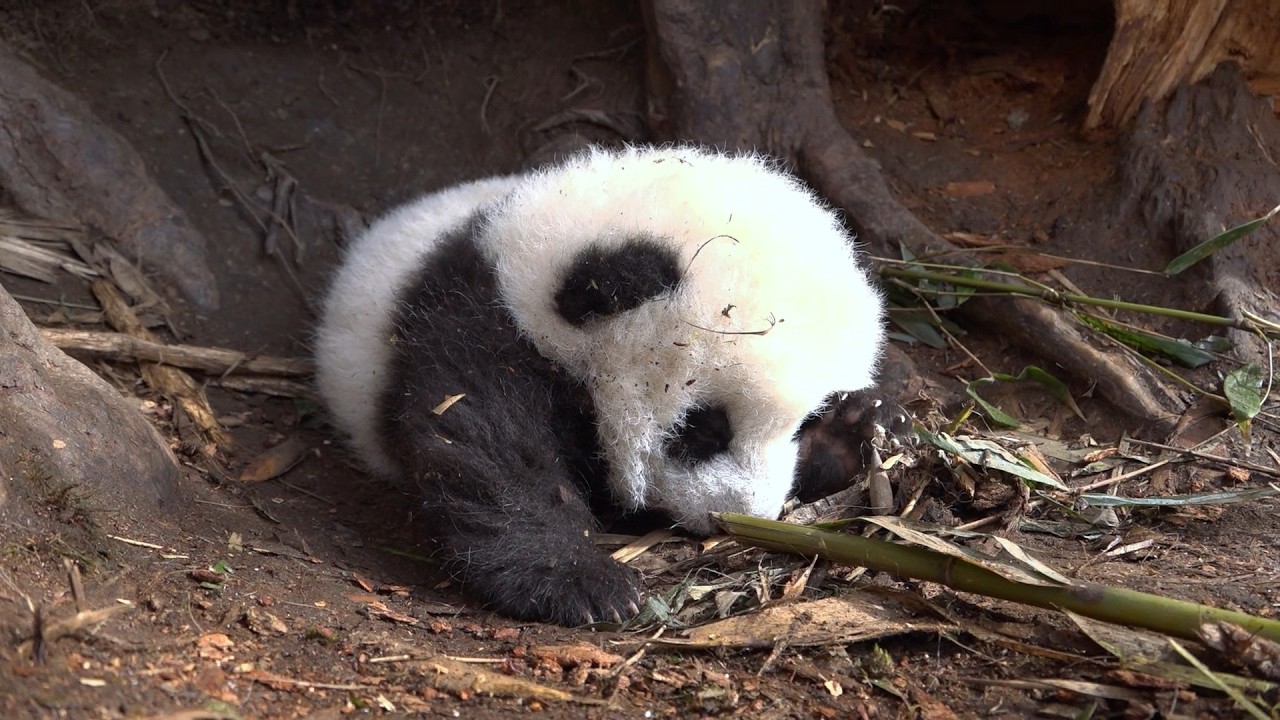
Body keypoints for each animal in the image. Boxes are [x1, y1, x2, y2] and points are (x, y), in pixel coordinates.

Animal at [314, 145, 886, 626]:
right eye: (704, 429)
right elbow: (485, 443)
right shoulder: (476, 322)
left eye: (804, 423)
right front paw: (582, 583)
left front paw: (857, 430)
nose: (746, 514)